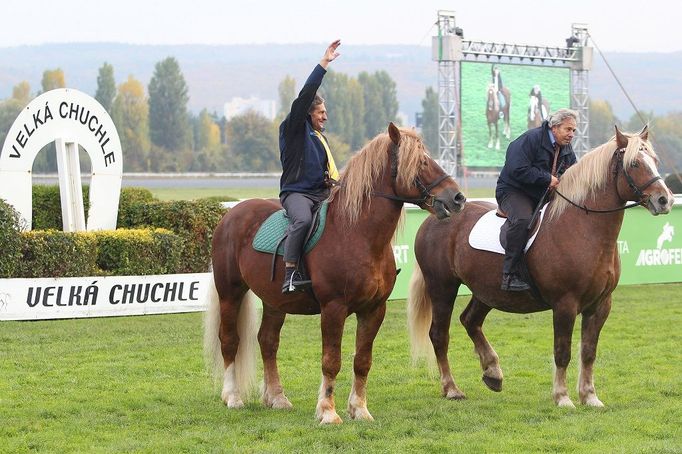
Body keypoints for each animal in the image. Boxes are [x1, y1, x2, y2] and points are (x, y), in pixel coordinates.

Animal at [205, 122, 464, 424]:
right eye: (421, 162)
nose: (457, 198)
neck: (357, 233)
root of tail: (230, 215)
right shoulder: (333, 309)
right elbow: (331, 361)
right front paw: (328, 411)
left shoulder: (374, 310)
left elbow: (362, 361)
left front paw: (359, 409)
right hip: (230, 293)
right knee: (229, 341)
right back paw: (232, 397)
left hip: (274, 302)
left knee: (268, 342)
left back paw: (277, 398)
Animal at [406, 127, 672, 408]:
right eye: (634, 164)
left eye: (655, 161)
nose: (664, 199)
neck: (583, 227)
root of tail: (437, 217)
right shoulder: (565, 305)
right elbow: (563, 352)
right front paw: (562, 397)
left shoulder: (600, 306)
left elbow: (588, 352)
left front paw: (590, 396)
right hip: (442, 288)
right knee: (439, 335)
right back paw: (451, 388)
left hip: (487, 292)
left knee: (470, 321)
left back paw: (493, 372)